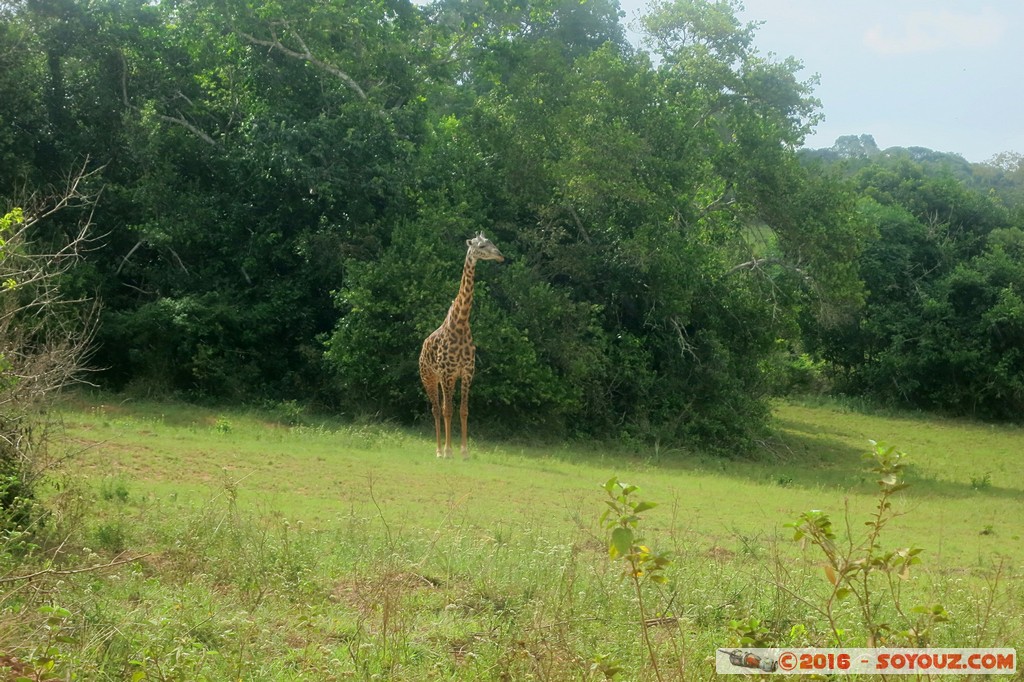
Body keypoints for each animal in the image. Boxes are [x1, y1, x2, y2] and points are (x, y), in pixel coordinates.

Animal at [419, 232, 504, 459]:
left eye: (492, 243)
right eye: (481, 246)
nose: (500, 256)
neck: (461, 323)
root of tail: (422, 348)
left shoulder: (466, 372)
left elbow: (464, 410)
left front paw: (464, 452)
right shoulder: (448, 372)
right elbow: (448, 411)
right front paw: (449, 451)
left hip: (442, 379)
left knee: (442, 406)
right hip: (429, 377)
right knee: (436, 409)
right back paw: (439, 450)